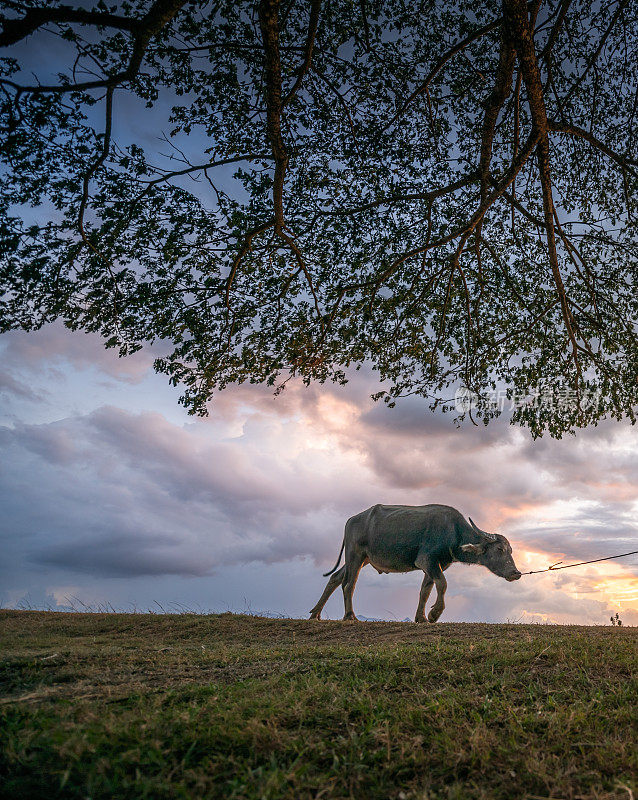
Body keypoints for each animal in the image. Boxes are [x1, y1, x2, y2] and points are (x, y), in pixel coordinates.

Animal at [310, 504, 524, 620]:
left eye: (511, 550)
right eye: (499, 549)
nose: (516, 573)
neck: (453, 533)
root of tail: (352, 520)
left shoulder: (434, 565)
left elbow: (425, 590)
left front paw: (420, 617)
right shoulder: (427, 561)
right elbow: (442, 584)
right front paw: (434, 614)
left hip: (363, 559)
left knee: (336, 577)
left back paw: (315, 614)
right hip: (354, 554)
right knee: (349, 583)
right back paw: (349, 616)